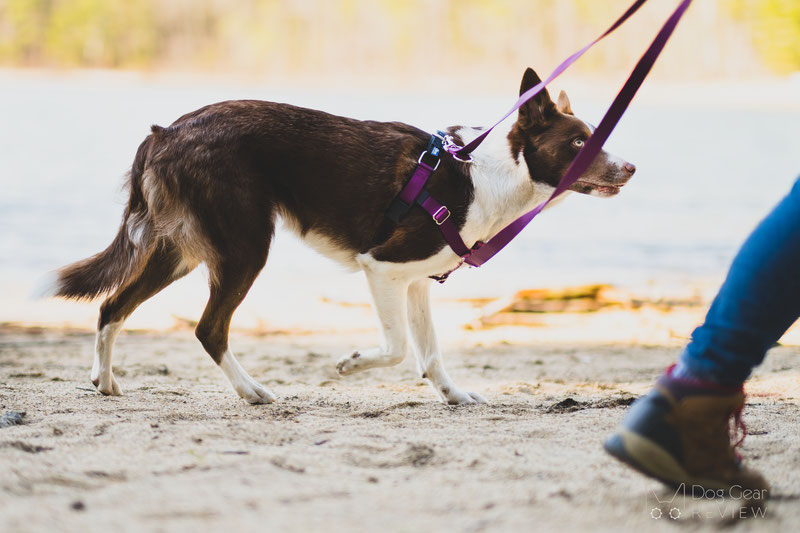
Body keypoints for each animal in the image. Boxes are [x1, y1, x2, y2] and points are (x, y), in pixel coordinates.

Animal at [48, 68, 636, 406]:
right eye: (580, 141)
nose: (631, 167)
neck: (491, 172)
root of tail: (166, 132)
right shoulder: (382, 267)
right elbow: (398, 349)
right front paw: (352, 364)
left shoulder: (415, 282)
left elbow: (430, 353)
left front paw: (454, 396)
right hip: (244, 248)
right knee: (207, 328)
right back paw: (252, 392)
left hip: (180, 251)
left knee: (112, 307)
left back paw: (105, 382)